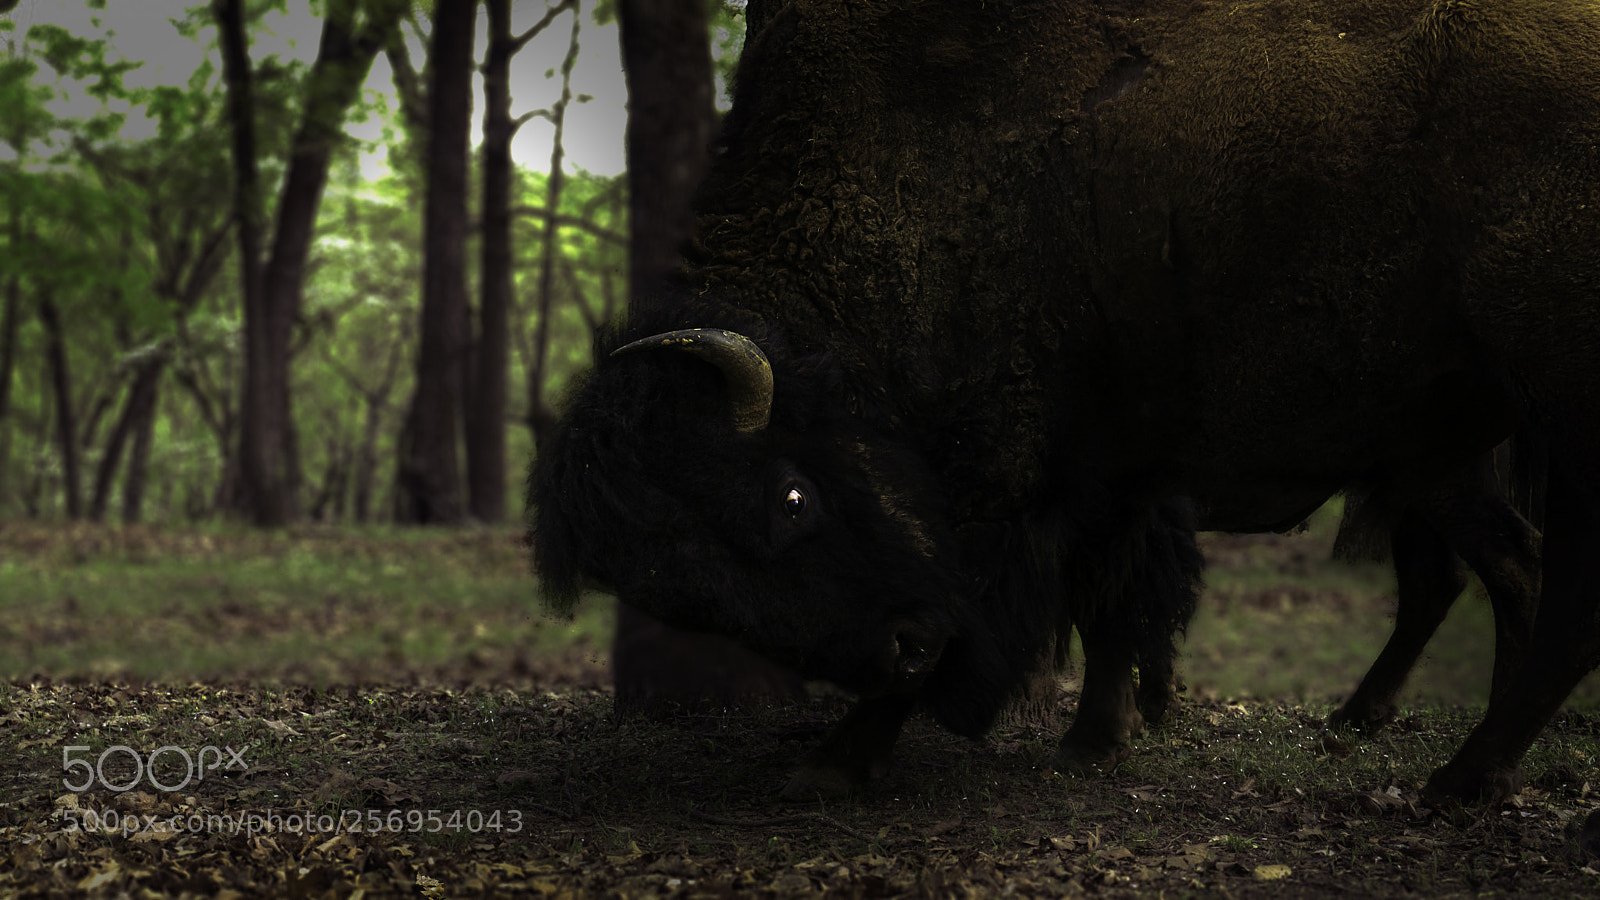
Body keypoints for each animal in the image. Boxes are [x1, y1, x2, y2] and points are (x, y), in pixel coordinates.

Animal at [532, 0, 1599, 804]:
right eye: (692, 596)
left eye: (792, 497)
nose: (902, 649)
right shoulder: (1110, 469)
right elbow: (1109, 598)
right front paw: (1095, 736)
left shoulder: (1020, 476)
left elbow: (1047, 597)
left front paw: (834, 760)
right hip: (1444, 452)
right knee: (1498, 571)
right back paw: (1458, 758)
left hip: (1533, 419)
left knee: (1538, 588)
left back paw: (1457, 780)